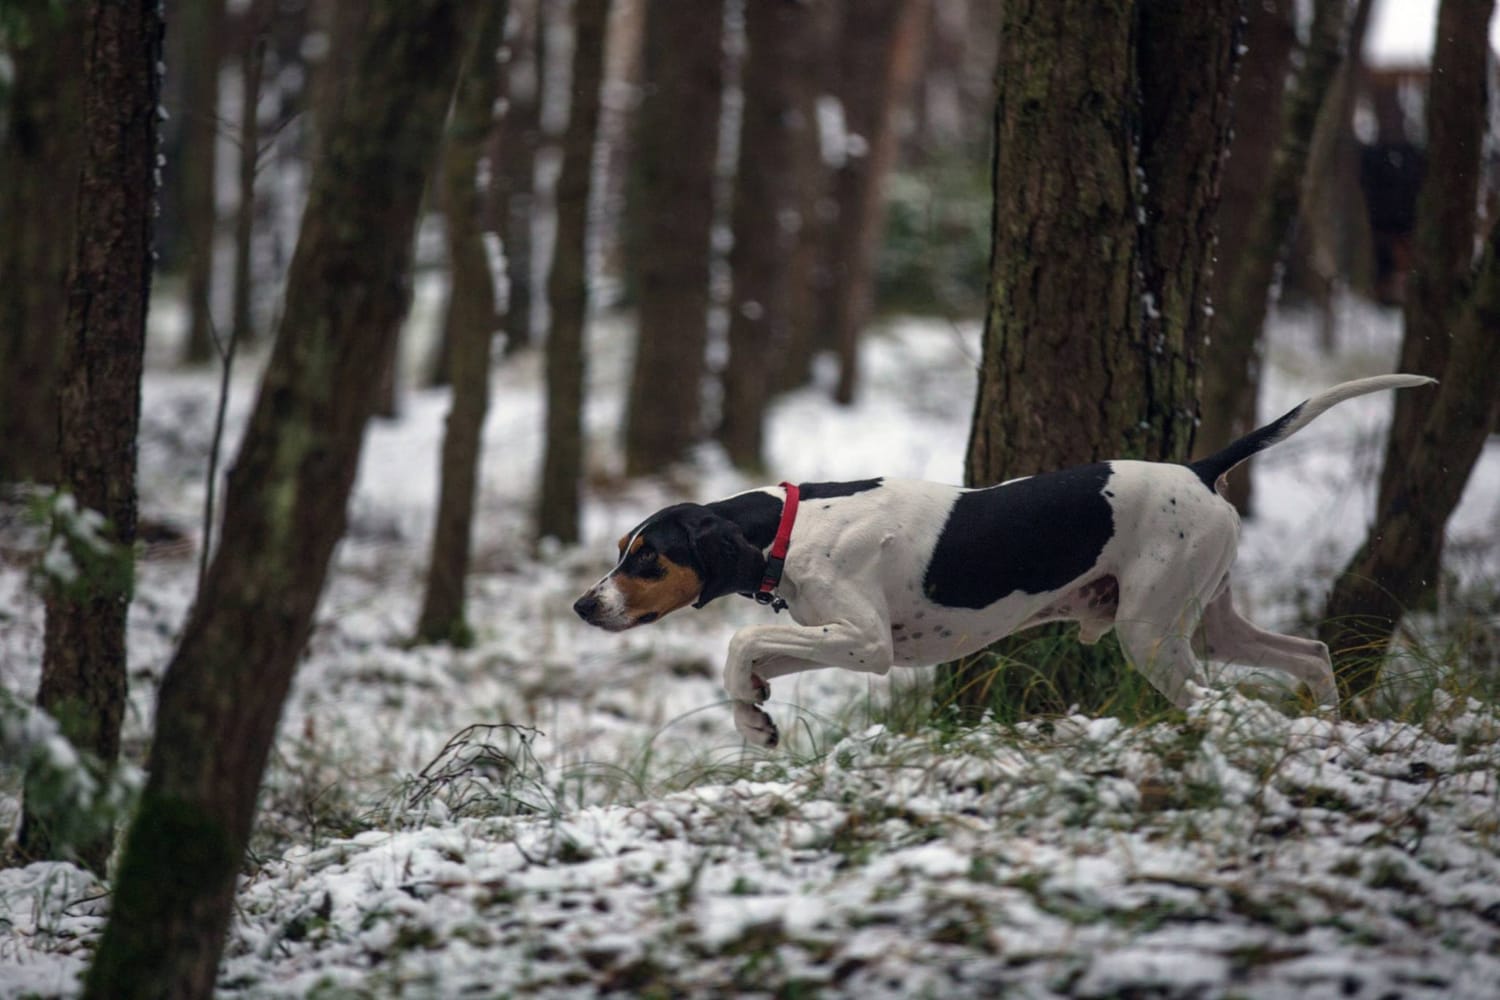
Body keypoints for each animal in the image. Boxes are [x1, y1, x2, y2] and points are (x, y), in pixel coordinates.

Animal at [570, 373, 1428, 743]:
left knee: (1223, 702)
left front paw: (751, 717)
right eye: (621, 552)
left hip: (1152, 635)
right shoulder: (827, 636)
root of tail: (1197, 469)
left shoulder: (867, 645)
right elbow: (749, 660)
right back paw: (1332, 725)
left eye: (646, 559)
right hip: (1207, 623)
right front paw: (754, 716)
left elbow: (742, 641)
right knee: (1311, 653)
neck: (793, 525)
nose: (583, 605)